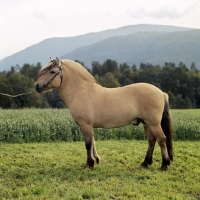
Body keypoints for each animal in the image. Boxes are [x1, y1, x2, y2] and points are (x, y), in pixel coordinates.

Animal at [33, 57, 173, 170]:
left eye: (52, 71)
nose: (37, 86)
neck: (81, 91)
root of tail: (161, 93)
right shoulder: (89, 126)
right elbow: (93, 142)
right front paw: (96, 160)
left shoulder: (85, 125)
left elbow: (88, 144)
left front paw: (89, 164)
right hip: (147, 124)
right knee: (151, 141)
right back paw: (146, 163)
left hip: (154, 123)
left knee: (161, 140)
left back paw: (164, 164)